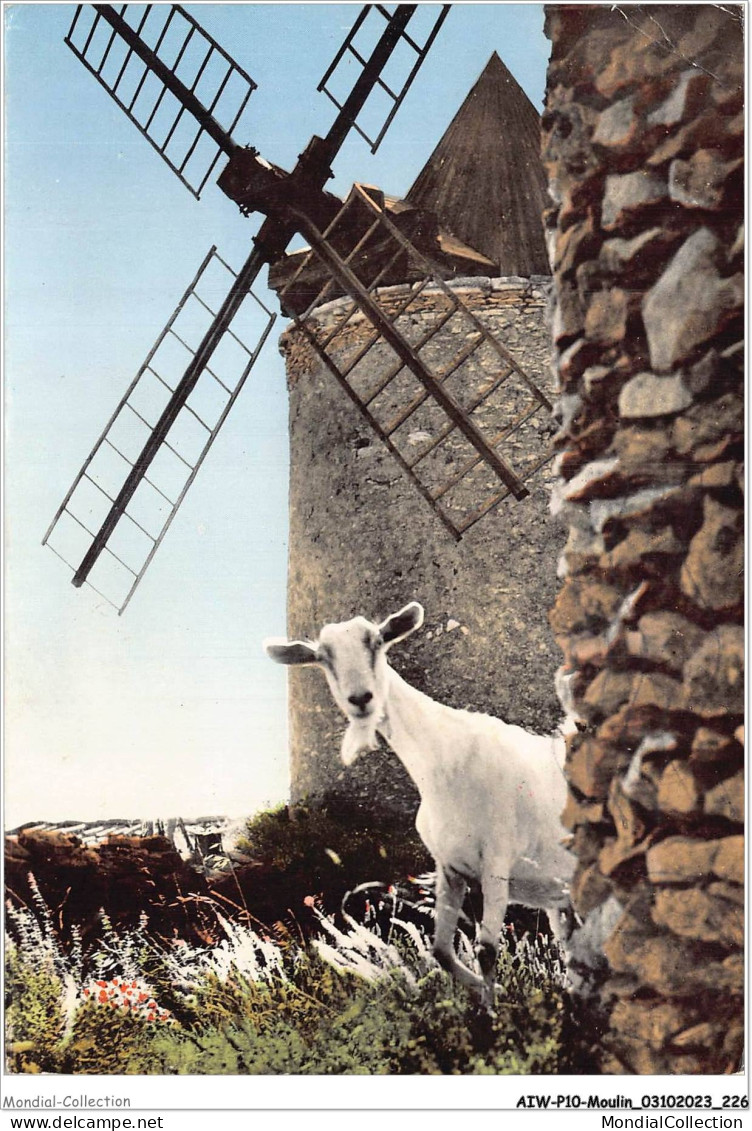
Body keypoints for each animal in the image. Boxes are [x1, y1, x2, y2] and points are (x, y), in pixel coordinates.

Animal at [265, 601, 574, 1008]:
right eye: (322, 657)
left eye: (377, 641)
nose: (361, 699)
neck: (448, 758)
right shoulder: (450, 867)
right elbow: (441, 951)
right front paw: (492, 993)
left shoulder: (496, 861)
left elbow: (486, 950)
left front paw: (492, 1013)